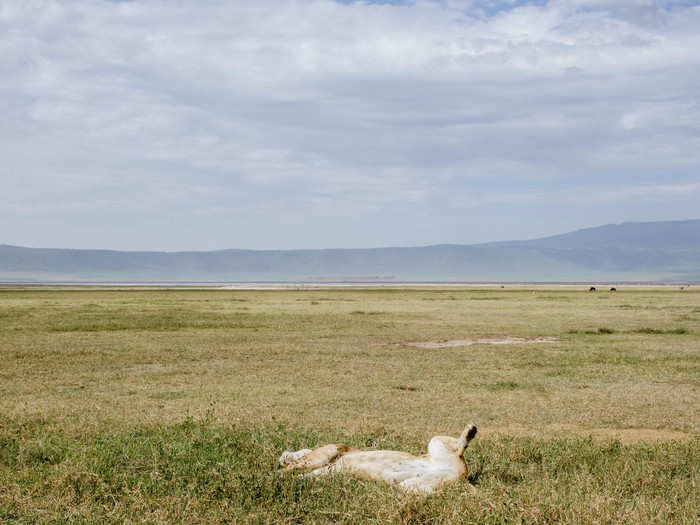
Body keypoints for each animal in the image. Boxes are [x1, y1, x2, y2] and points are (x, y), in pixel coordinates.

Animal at [278, 424, 476, 494]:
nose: (282, 458)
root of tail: (463, 477)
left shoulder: (331, 450)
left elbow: (289, 469)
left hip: (435, 442)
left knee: (459, 446)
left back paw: (470, 431)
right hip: (413, 484)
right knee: (426, 491)